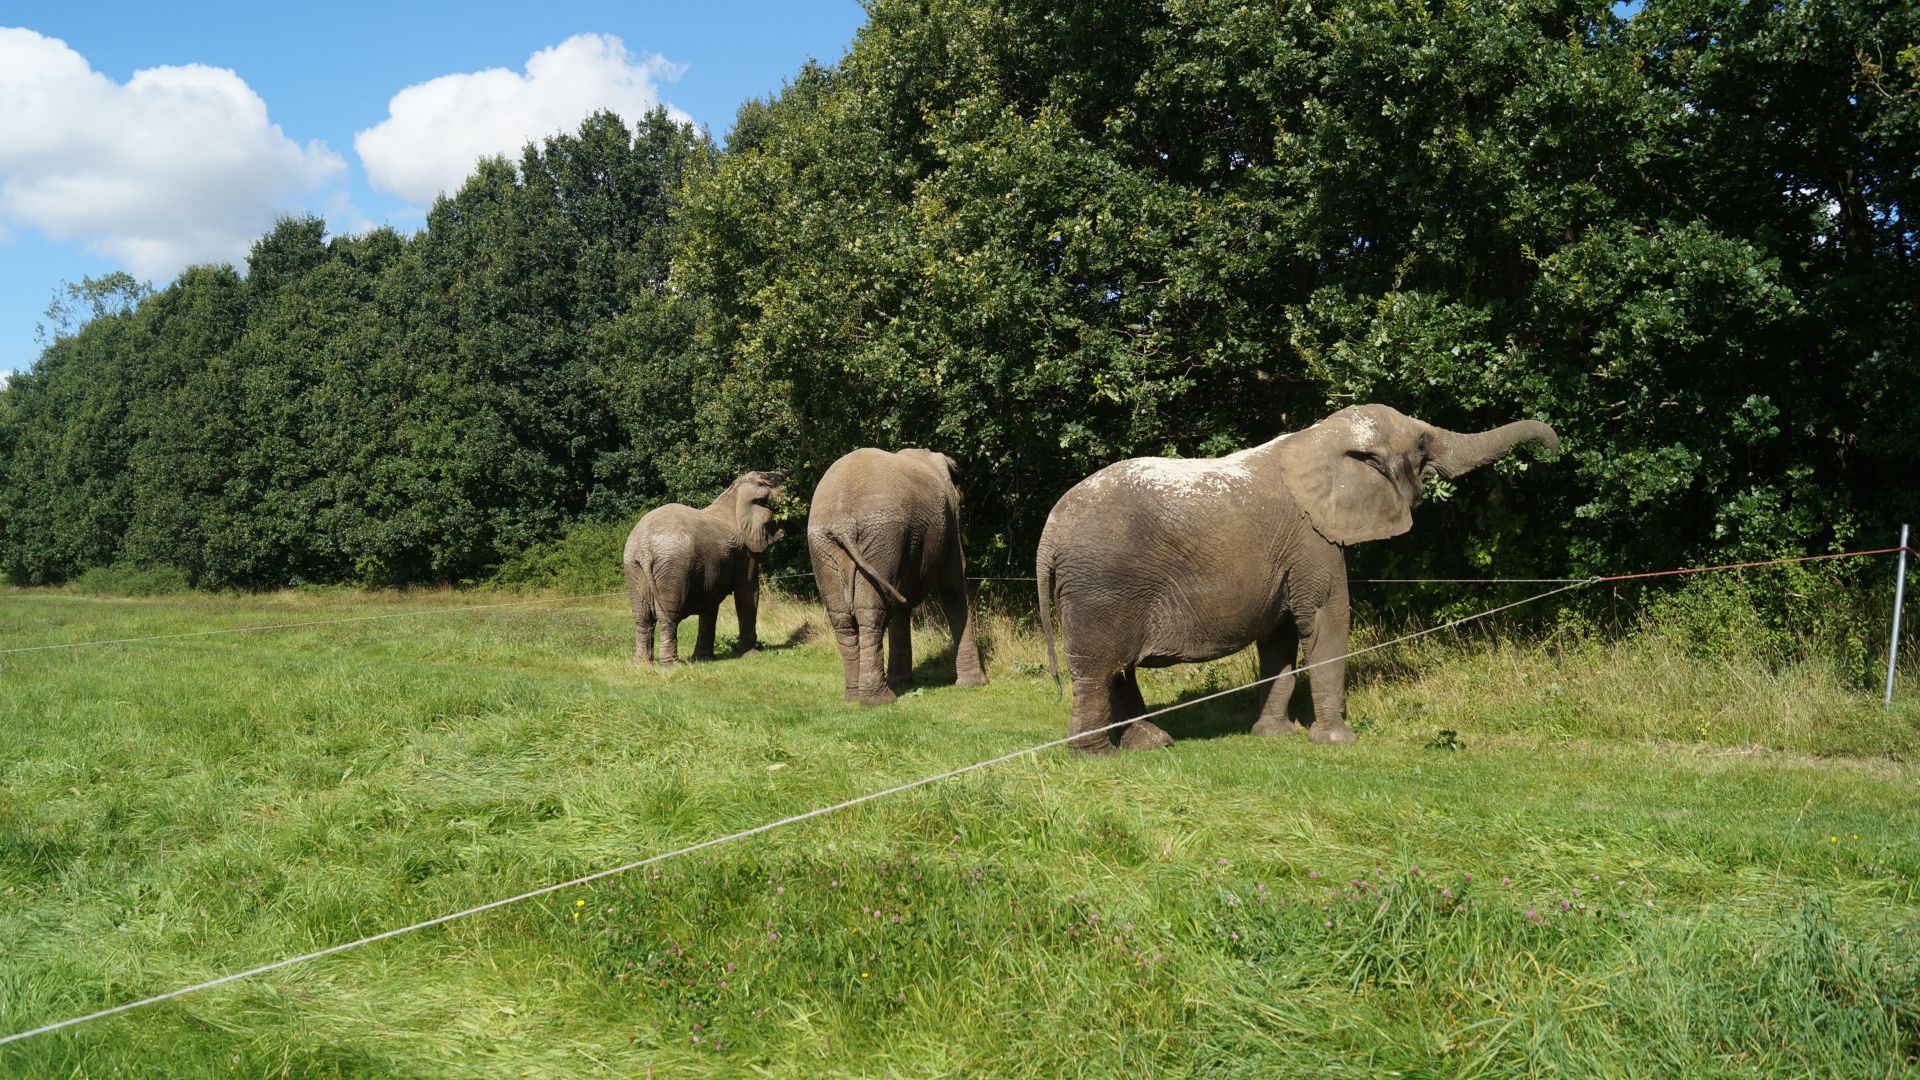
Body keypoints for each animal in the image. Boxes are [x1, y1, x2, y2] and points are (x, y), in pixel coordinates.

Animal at [622, 466, 787, 661]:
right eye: (768, 480)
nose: (785, 474)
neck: (735, 493)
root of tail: (644, 548)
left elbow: (710, 603)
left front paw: (704, 659)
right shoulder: (745, 552)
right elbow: (747, 593)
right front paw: (752, 655)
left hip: (633, 568)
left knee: (642, 619)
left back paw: (641, 664)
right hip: (672, 567)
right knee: (668, 617)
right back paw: (671, 664)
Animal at [810, 445, 990, 707]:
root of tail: (842, 520)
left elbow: (902, 603)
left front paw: (902, 682)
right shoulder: (949, 527)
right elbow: (953, 588)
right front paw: (975, 684)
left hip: (829, 544)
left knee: (842, 617)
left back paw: (853, 697)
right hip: (880, 534)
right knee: (871, 611)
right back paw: (879, 700)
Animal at [1036, 401, 1559, 749]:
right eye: (1422, 443)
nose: (1555, 452)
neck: (1316, 438)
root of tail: (1048, 535)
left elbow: (1280, 639)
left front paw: (1274, 736)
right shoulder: (1313, 538)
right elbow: (1327, 621)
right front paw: (1337, 741)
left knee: (1117, 670)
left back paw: (1151, 743)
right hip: (1103, 584)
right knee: (1099, 668)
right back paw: (1098, 755)